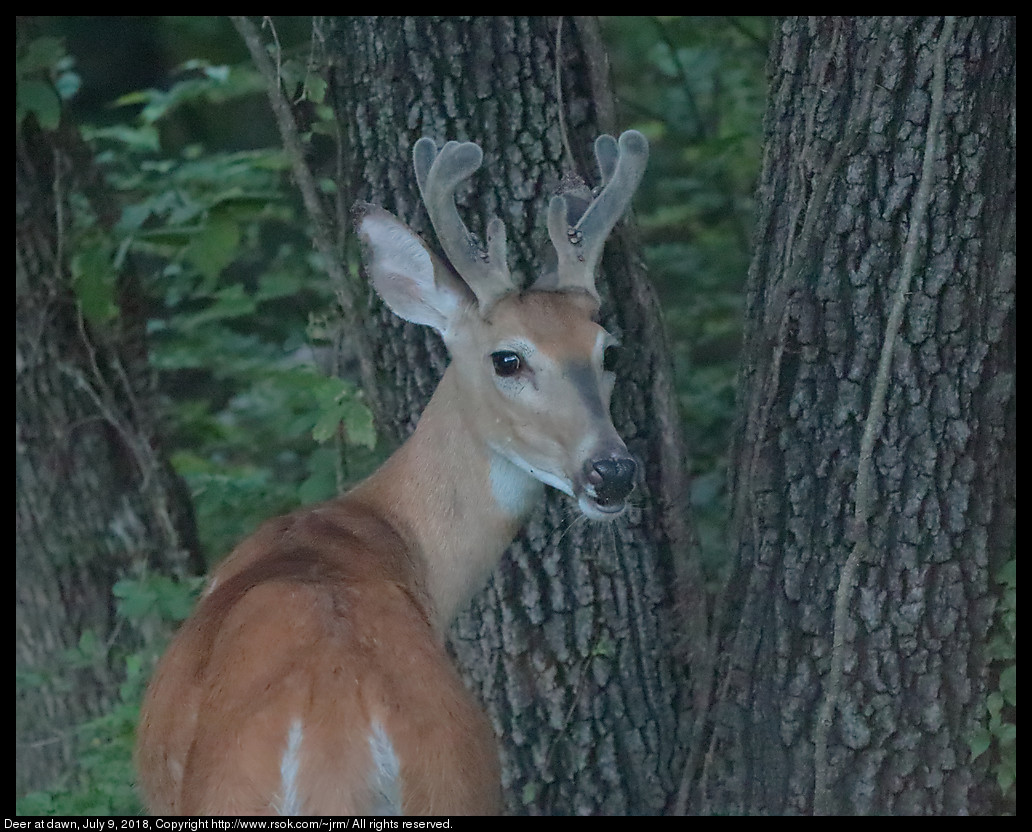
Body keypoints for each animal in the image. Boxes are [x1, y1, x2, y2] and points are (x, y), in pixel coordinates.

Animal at [133, 128, 648, 813]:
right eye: (507, 358)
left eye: (606, 351)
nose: (611, 472)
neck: (381, 527)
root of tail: (336, 747)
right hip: (461, 788)